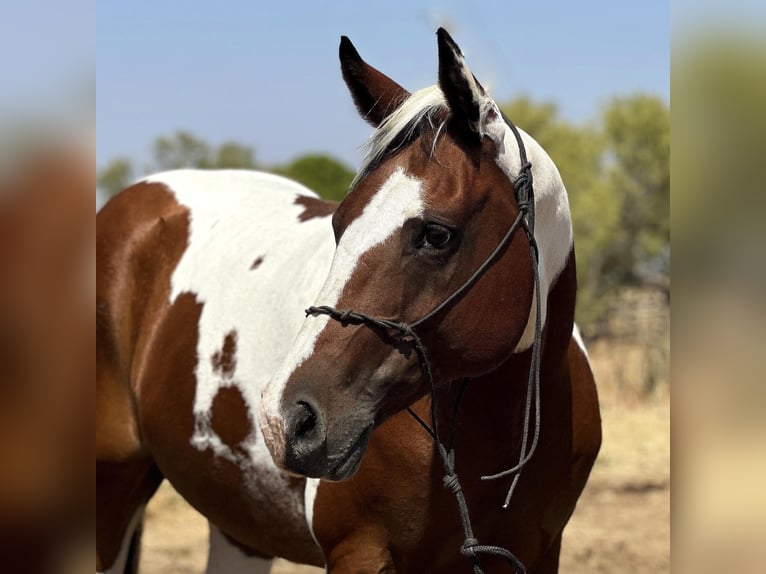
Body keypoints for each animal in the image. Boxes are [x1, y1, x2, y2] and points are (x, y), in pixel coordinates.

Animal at [94, 30, 600, 574]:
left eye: (436, 234)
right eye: (339, 224)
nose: (286, 418)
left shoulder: (537, 553)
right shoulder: (360, 551)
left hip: (239, 527)